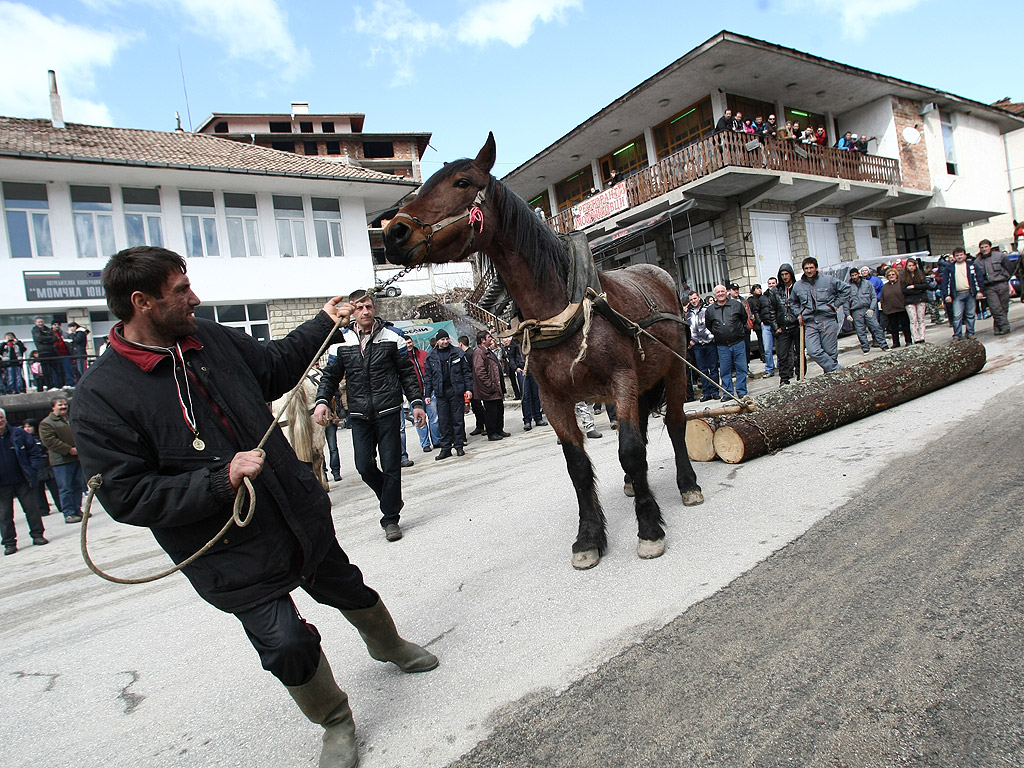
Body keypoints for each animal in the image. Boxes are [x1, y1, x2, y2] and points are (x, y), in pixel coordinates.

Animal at [385, 132, 704, 569]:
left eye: (462, 182)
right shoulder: (554, 398)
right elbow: (578, 466)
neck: (564, 307)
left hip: (673, 369)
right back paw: (631, 486)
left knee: (673, 425)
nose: (393, 233)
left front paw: (649, 529)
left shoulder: (621, 380)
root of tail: (657, 274)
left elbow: (631, 450)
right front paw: (589, 537)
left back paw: (687, 484)